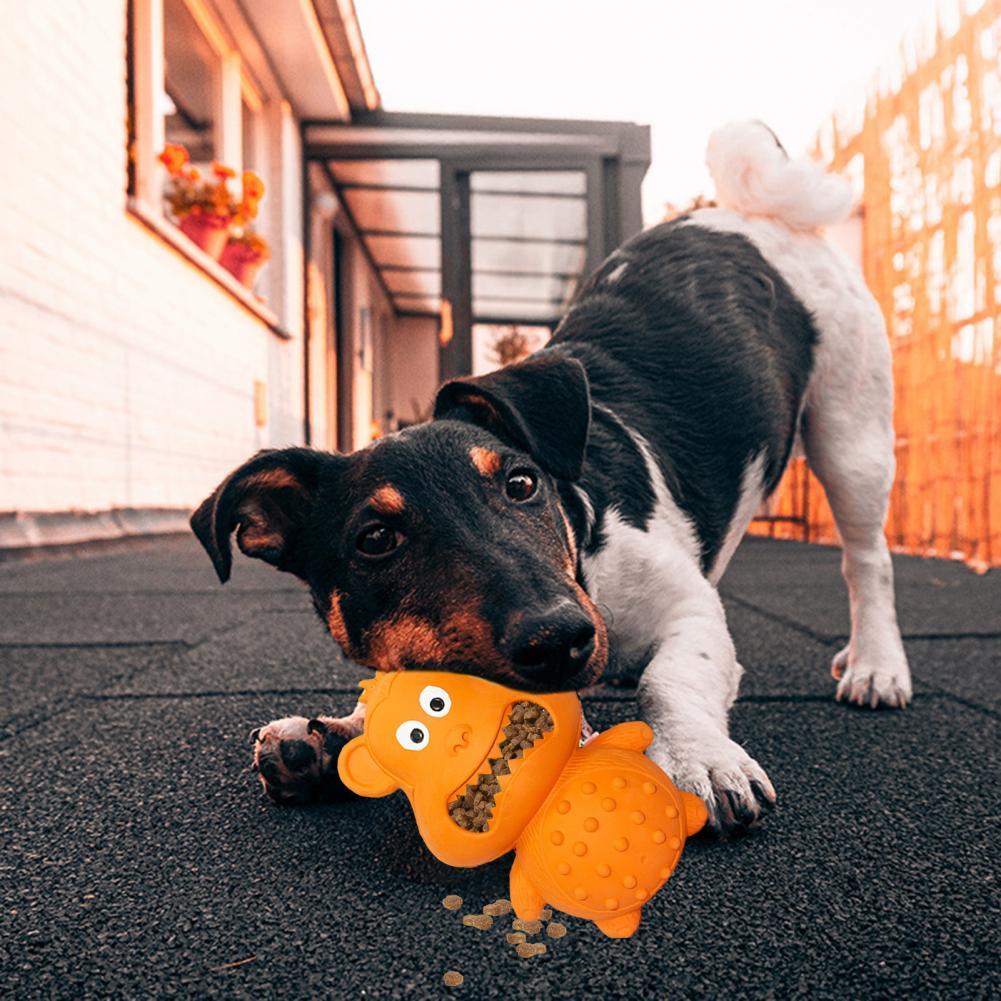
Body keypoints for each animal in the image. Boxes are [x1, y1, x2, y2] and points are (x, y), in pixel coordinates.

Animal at [191, 121, 912, 832]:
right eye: (374, 539)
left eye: (520, 484)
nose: (561, 637)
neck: (581, 545)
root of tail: (752, 214)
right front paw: (331, 738)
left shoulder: (688, 610)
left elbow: (672, 679)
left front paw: (696, 757)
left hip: (852, 437)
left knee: (867, 562)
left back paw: (874, 664)